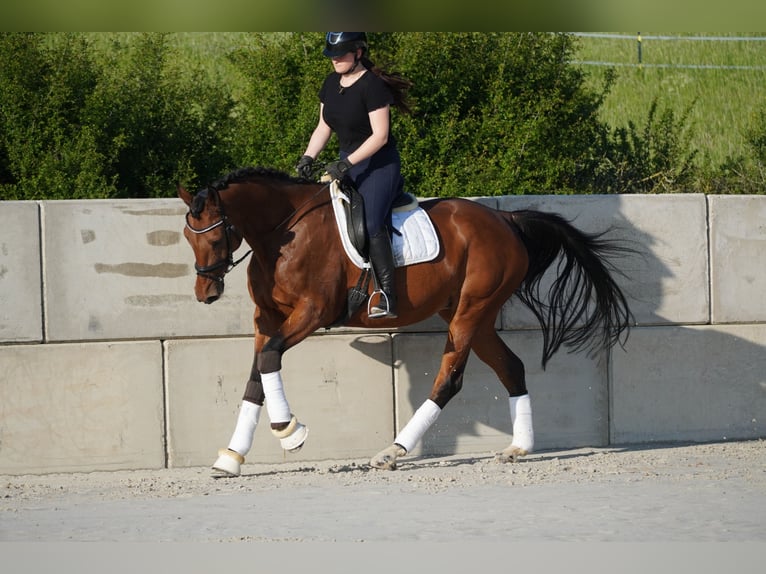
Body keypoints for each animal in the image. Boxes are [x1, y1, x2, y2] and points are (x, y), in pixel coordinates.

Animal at [180, 166, 636, 476]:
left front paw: (290, 431)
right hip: (472, 314)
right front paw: (231, 457)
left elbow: (270, 360)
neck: (281, 234)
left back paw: (392, 452)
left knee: (450, 380)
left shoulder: (312, 313)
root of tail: (506, 221)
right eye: (188, 237)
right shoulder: (267, 318)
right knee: (511, 367)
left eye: (215, 237)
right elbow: (258, 374)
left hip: (470, 311)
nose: (206, 294)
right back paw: (517, 448)